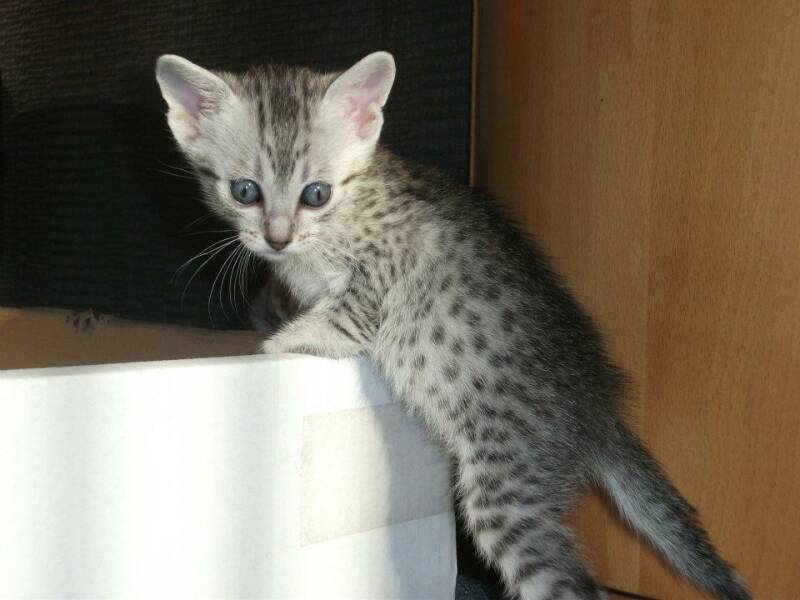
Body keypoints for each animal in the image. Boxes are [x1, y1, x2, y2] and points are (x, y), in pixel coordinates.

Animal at [155, 52, 751, 600]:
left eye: (316, 193)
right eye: (245, 191)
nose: (276, 239)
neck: (350, 206)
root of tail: (599, 407)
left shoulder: (371, 288)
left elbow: (316, 331)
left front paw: (268, 350)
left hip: (506, 489)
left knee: (572, 585)